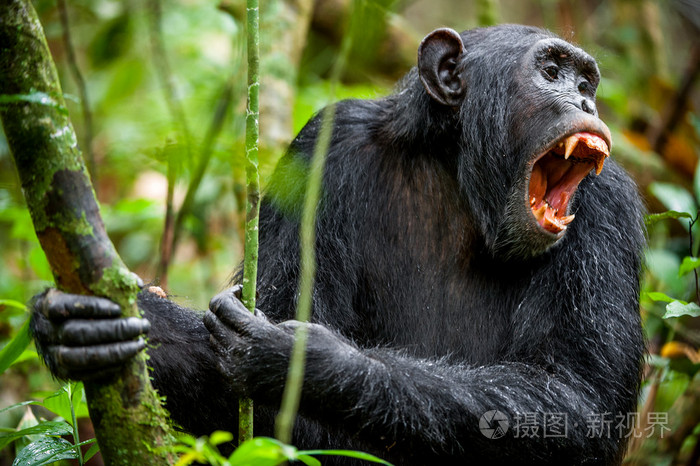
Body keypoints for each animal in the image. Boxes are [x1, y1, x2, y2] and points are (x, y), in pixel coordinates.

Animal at [31, 25, 644, 466]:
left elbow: (579, 399)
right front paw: (85, 324)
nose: (586, 104)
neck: (456, 173)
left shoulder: (609, 209)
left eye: (585, 83)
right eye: (551, 72)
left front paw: (309, 360)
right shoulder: (321, 150)